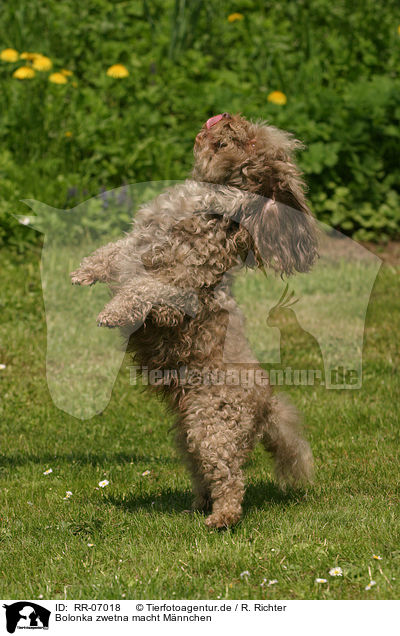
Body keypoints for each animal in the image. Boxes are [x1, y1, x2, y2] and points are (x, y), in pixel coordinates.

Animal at [70, 113, 318, 528]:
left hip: (211, 424)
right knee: (206, 472)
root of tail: (266, 407)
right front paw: (82, 274)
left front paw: (112, 313)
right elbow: (109, 254)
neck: (204, 205)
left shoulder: (177, 287)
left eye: (251, 143)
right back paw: (199, 505)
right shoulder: (134, 246)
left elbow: (141, 288)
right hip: (188, 433)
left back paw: (222, 518)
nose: (226, 116)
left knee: (231, 476)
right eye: (249, 127)